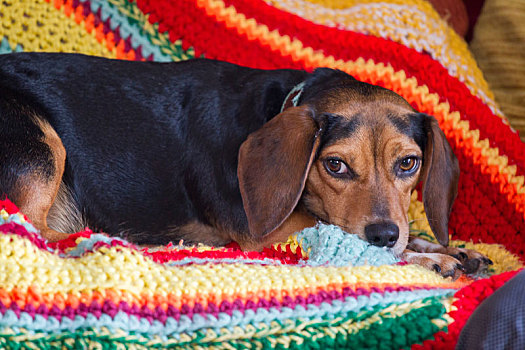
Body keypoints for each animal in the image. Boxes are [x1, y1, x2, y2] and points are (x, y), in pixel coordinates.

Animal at [1, 52, 492, 278]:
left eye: (409, 163)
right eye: (335, 166)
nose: (385, 234)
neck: (280, 106)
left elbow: (414, 235)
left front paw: (449, 249)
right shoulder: (269, 233)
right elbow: (340, 237)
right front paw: (429, 260)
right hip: (40, 144)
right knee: (33, 229)